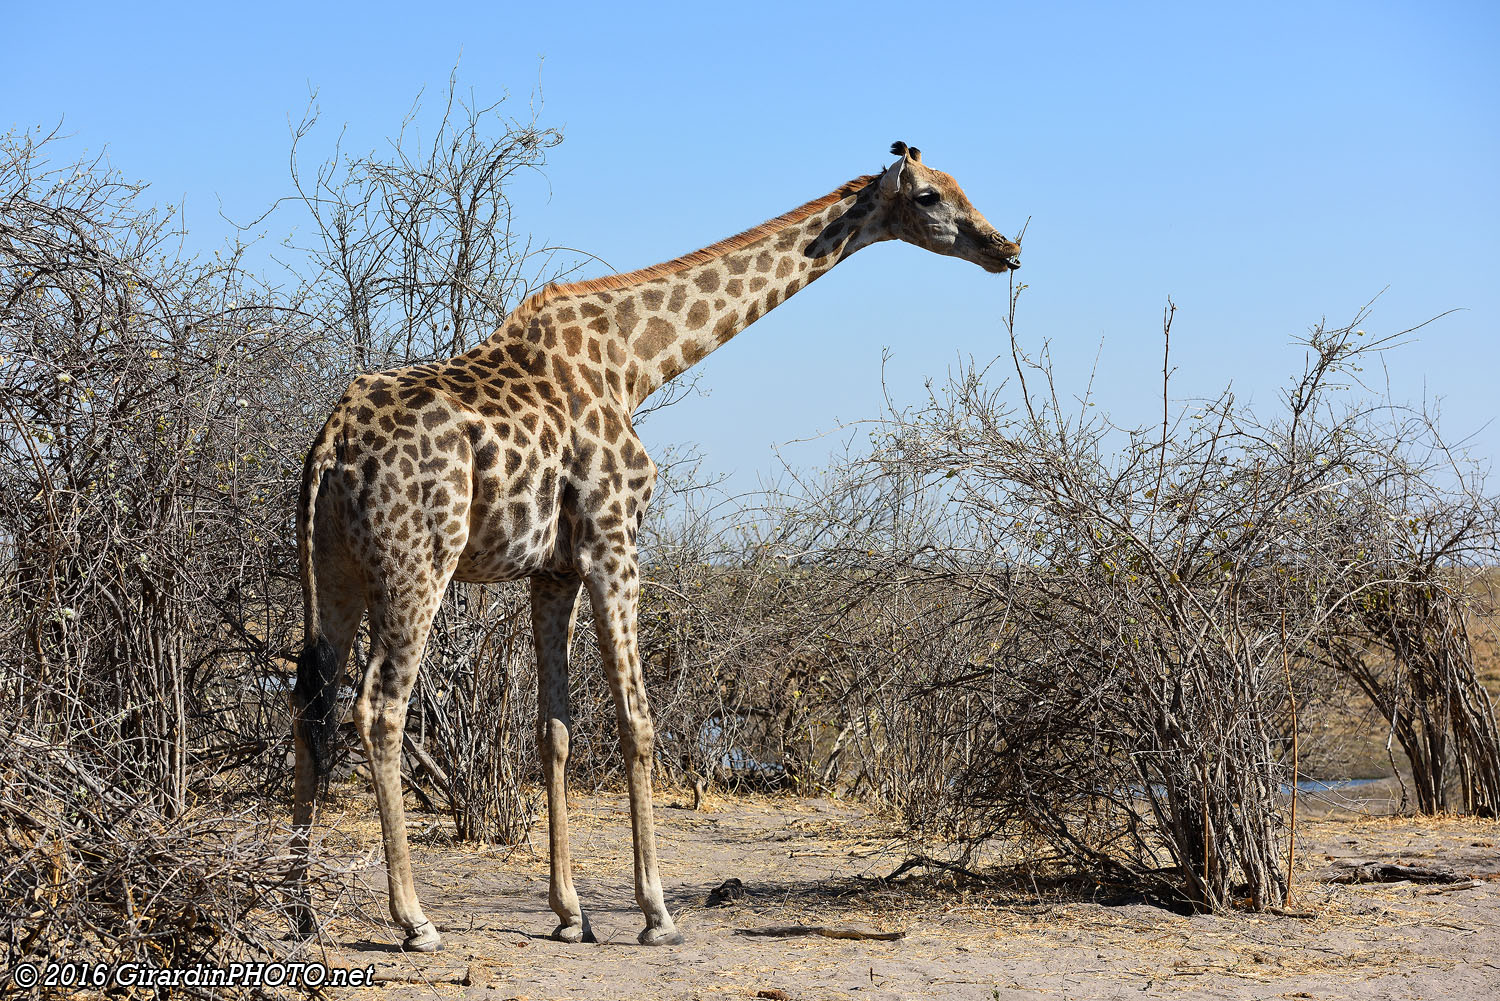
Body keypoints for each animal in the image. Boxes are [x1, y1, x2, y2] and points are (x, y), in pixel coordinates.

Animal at [288, 141, 1021, 951]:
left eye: (959, 187)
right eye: (928, 197)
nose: (1005, 247)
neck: (637, 363)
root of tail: (330, 443)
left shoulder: (552, 570)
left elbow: (555, 729)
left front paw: (569, 913)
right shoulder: (615, 541)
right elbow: (637, 725)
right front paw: (655, 911)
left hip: (334, 568)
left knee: (309, 704)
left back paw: (301, 909)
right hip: (419, 558)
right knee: (379, 708)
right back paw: (414, 919)